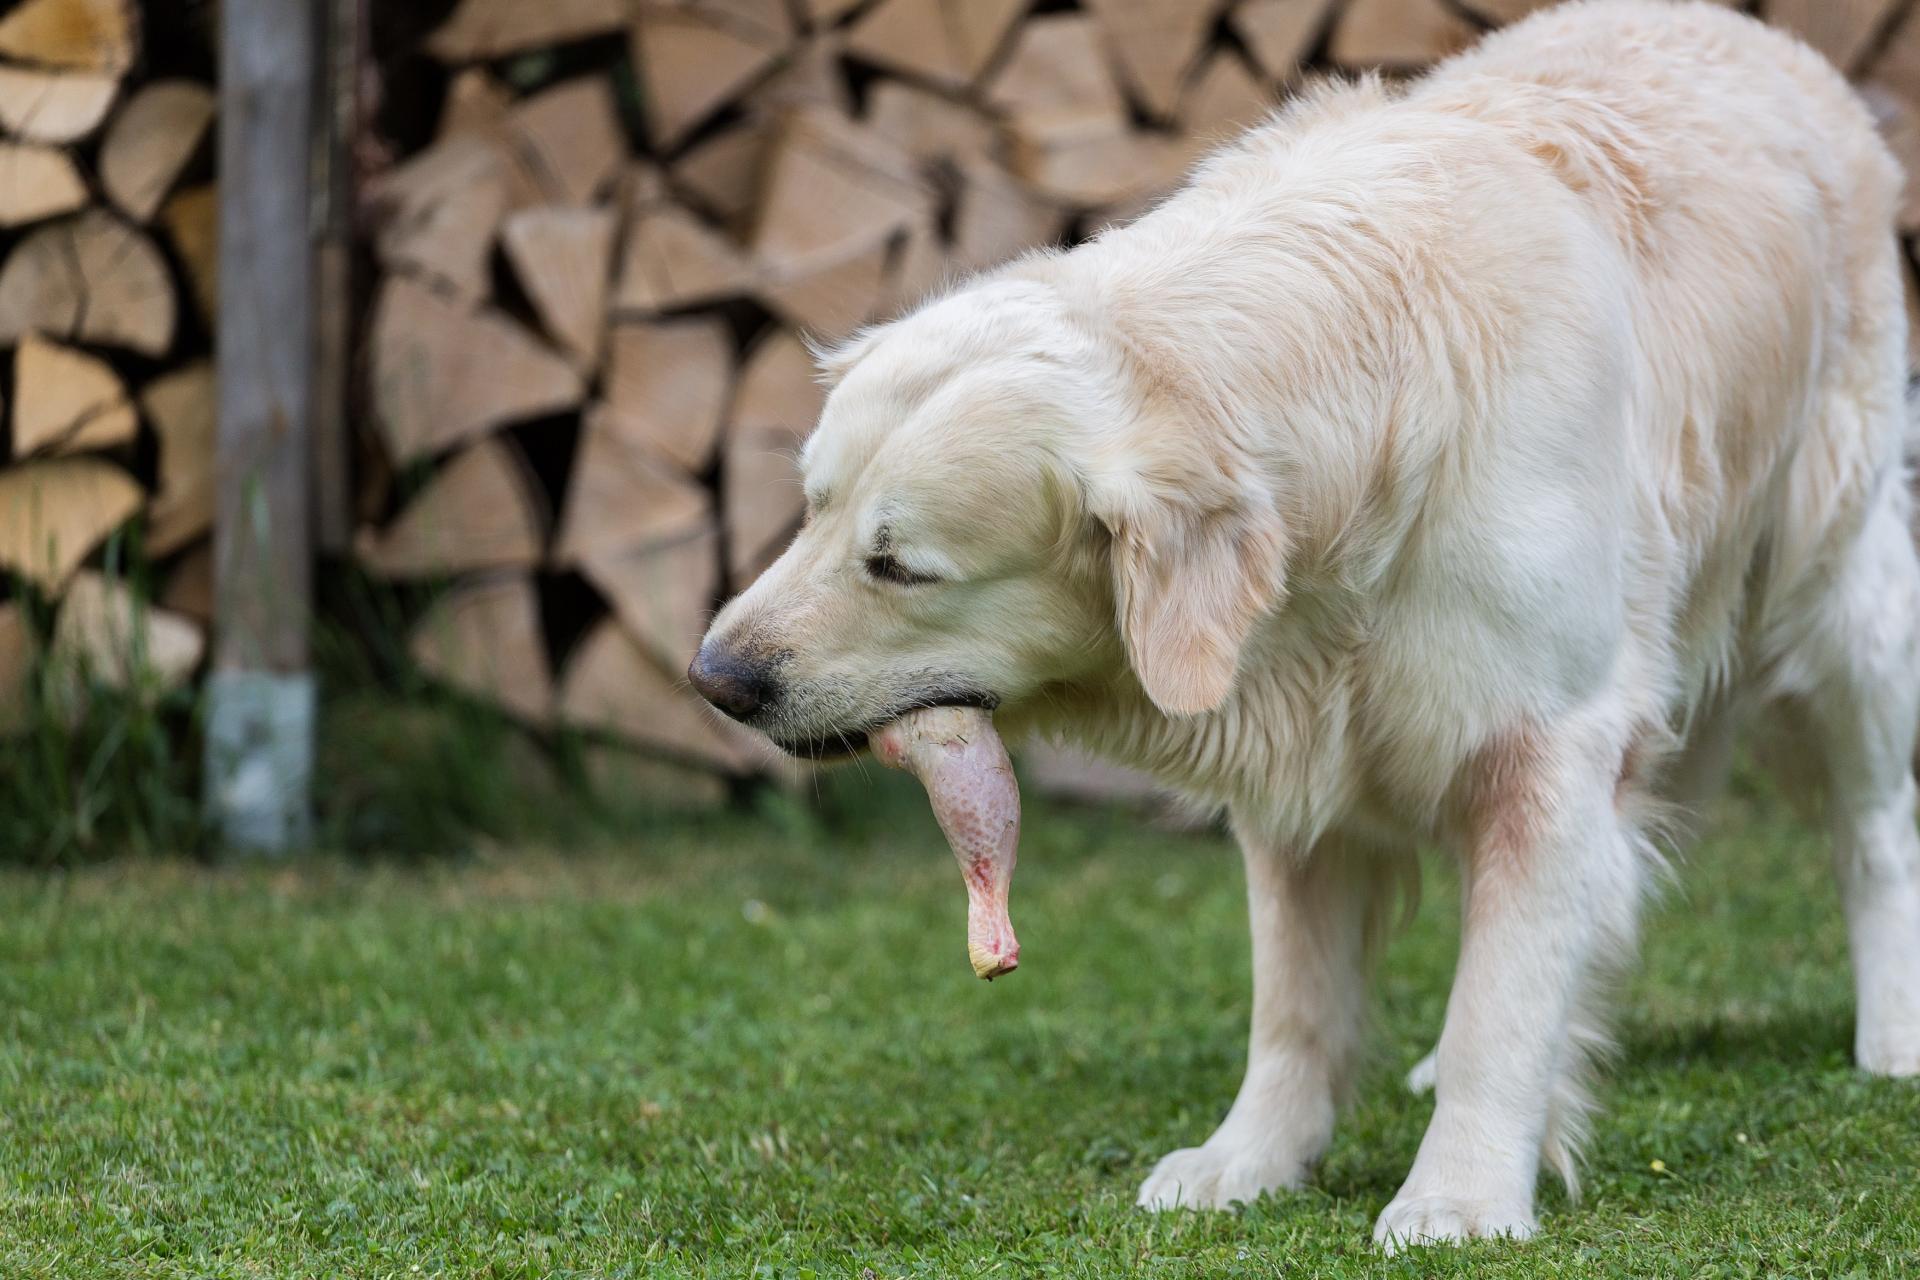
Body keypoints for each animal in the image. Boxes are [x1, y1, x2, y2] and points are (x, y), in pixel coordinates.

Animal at [691, 2, 1920, 1251]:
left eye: (901, 565)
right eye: (810, 504)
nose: (714, 675)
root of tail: (1759, 37)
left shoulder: (1547, 743)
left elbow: (1505, 996)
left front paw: (1460, 1193)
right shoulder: (1297, 754)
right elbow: (1296, 1000)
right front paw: (1251, 1158)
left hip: (1837, 599)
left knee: (1874, 827)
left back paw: (1892, 1032)